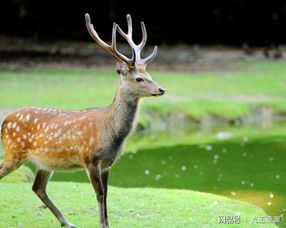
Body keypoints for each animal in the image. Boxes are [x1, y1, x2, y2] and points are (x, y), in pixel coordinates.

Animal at [0, 13, 164, 228]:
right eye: (139, 78)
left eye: (149, 75)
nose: (161, 89)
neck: (111, 133)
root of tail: (4, 122)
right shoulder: (90, 158)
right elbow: (100, 194)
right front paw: (103, 224)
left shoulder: (108, 163)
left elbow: (107, 193)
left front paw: (106, 223)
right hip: (14, 151)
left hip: (44, 163)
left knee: (38, 188)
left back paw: (66, 222)